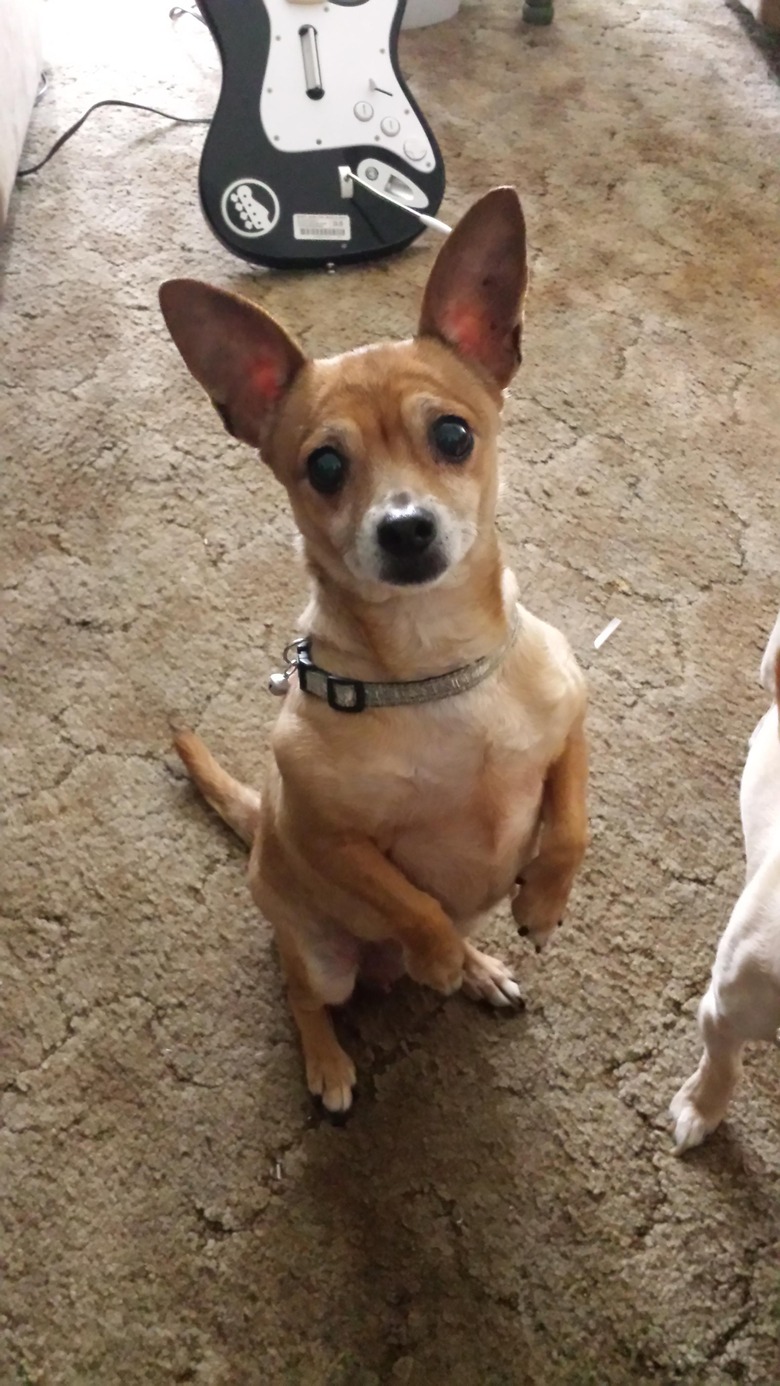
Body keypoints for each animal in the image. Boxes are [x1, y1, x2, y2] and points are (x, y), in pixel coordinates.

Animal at [160, 187, 587, 1114]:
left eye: (455, 436)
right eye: (324, 466)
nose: (404, 528)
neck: (437, 670)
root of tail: (257, 833)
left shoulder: (572, 724)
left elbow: (571, 822)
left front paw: (541, 901)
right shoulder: (332, 841)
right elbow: (407, 902)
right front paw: (434, 955)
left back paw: (480, 968)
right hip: (319, 954)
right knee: (302, 992)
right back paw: (335, 1057)